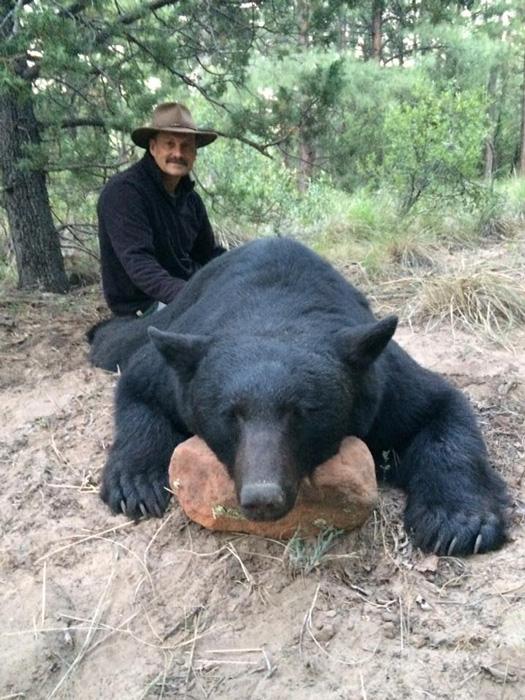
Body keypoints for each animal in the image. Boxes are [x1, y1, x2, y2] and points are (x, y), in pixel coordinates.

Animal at [88, 237, 509, 555]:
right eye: (231, 414)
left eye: (301, 412)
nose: (262, 496)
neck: (275, 311)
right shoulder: (177, 367)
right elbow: (138, 387)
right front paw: (135, 483)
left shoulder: (380, 380)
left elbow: (440, 409)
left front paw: (457, 520)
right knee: (120, 342)